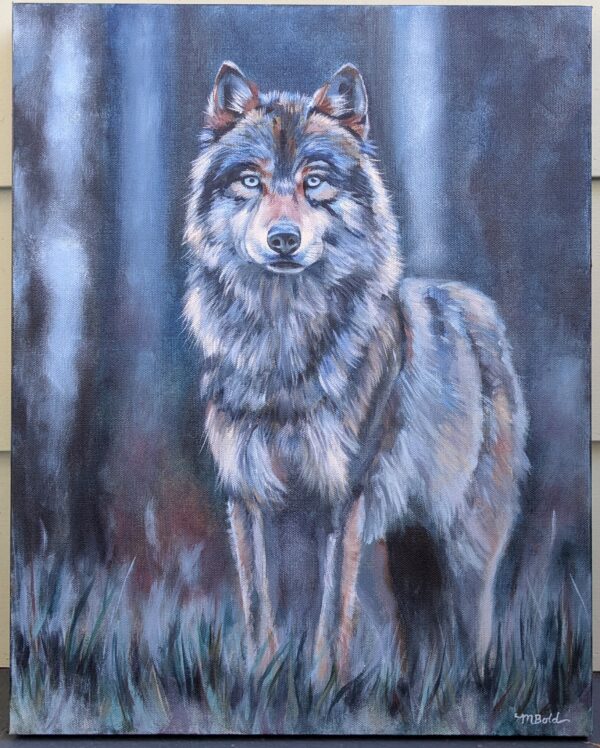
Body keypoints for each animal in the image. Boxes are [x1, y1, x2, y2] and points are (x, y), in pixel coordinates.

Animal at [183, 61, 528, 682]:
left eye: (315, 181)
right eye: (251, 181)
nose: (284, 240)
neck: (284, 350)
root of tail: (473, 305)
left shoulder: (343, 500)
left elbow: (328, 614)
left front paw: (322, 689)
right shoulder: (247, 497)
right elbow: (258, 604)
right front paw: (261, 681)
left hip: (462, 544)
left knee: (476, 627)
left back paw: (475, 686)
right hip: (400, 547)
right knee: (413, 631)